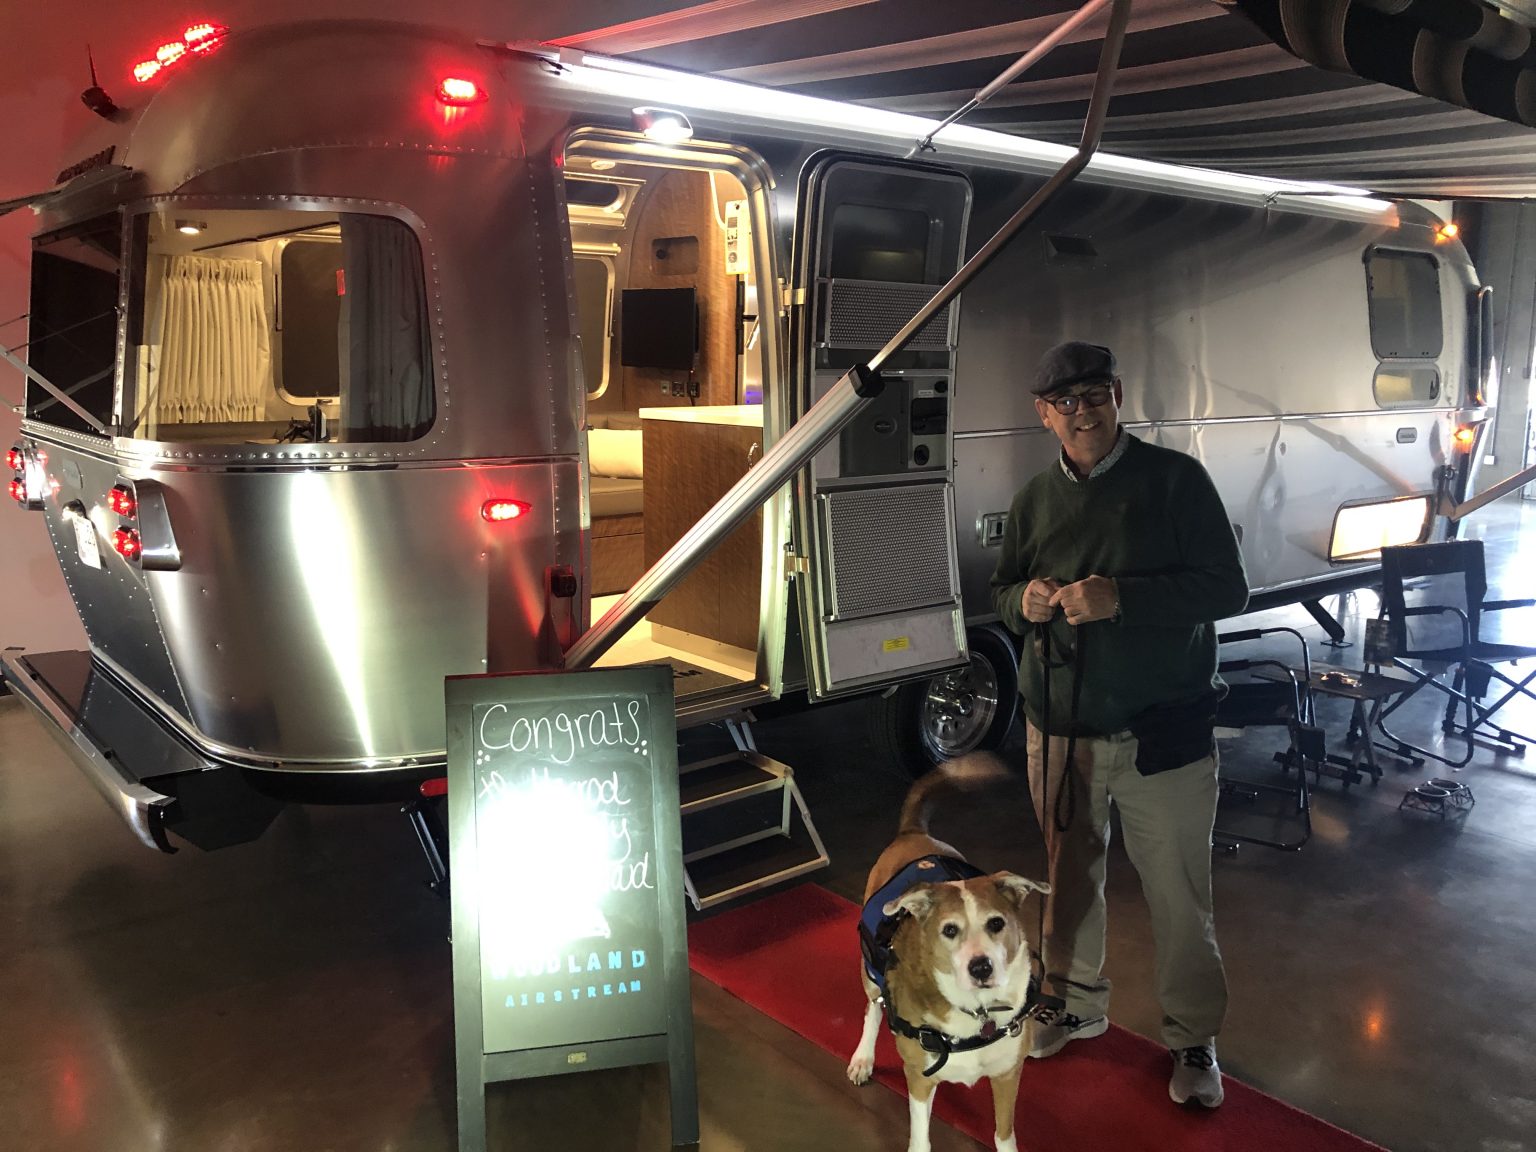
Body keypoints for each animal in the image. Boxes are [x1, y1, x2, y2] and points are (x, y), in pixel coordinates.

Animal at [846, 752, 1050, 1152]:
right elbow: (921, 1139)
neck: (978, 1012)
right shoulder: (920, 1079)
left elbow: (1004, 1134)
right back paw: (863, 1056)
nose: (981, 967)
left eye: (997, 923)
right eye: (949, 930)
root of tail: (912, 833)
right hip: (870, 972)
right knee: (873, 1009)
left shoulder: (1007, 1074)